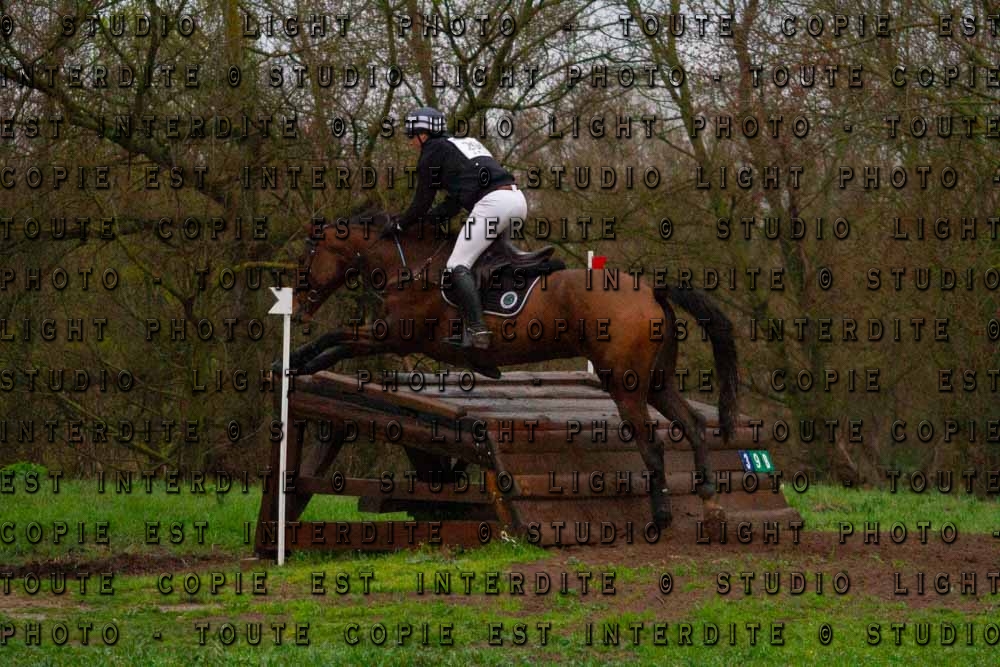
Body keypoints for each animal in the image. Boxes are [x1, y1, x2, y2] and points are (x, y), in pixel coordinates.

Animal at [286, 208, 740, 531]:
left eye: (307, 255)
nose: (298, 304)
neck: (411, 266)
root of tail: (650, 289)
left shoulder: (394, 335)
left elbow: (337, 338)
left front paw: (293, 362)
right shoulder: (389, 335)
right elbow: (339, 341)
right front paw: (298, 364)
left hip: (625, 385)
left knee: (654, 444)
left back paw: (661, 517)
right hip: (655, 383)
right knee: (694, 425)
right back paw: (711, 499)